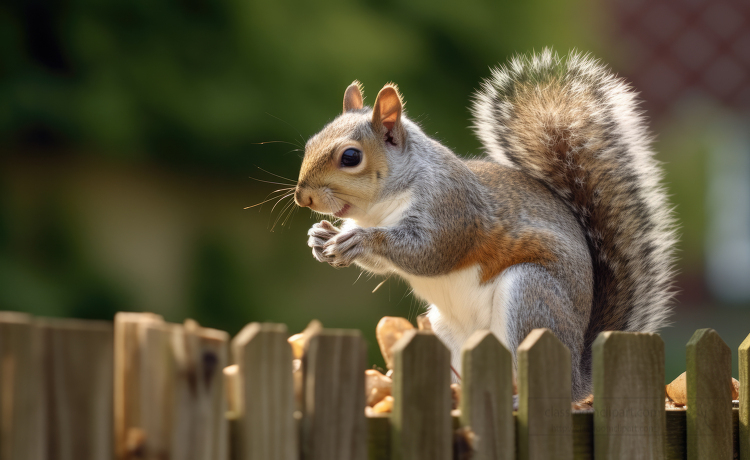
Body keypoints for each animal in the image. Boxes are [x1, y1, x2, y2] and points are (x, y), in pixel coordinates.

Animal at [296, 47, 680, 398]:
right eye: (310, 142)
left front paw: (361, 239)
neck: (379, 209)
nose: (303, 197)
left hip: (530, 297)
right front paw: (319, 237)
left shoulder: (452, 209)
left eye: (350, 156)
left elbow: (428, 253)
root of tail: (578, 375)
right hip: (445, 329)